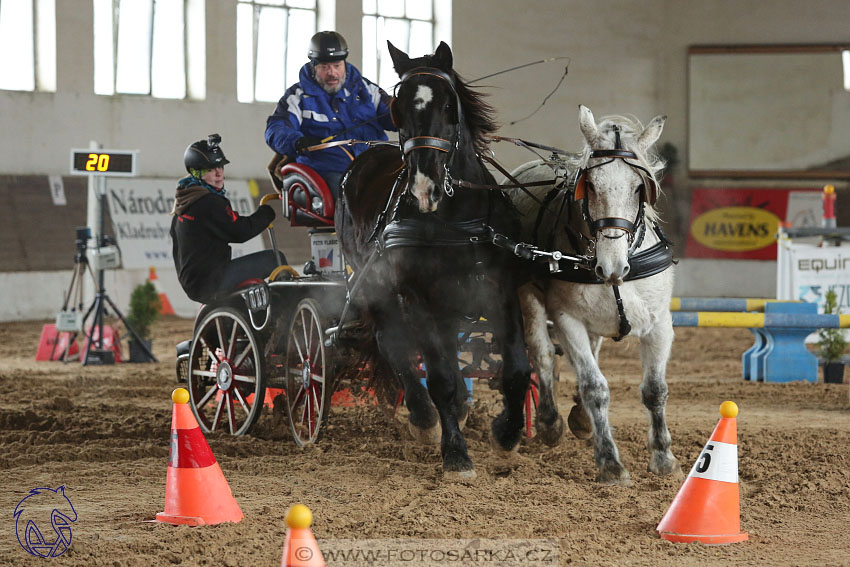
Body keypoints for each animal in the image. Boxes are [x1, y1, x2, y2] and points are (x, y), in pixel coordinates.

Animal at [332, 42, 528, 482]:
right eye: (397, 108)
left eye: (448, 104)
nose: (424, 188)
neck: (453, 218)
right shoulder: (415, 297)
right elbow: (439, 378)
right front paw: (455, 454)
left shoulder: (501, 292)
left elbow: (517, 369)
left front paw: (506, 437)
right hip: (380, 287)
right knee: (393, 344)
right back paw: (424, 418)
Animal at [506, 104, 680, 486]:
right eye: (590, 186)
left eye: (639, 187)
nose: (612, 266)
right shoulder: (567, 319)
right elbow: (594, 387)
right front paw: (610, 463)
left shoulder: (660, 323)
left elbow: (655, 389)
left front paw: (663, 458)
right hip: (528, 295)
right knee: (542, 353)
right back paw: (550, 422)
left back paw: (580, 420)